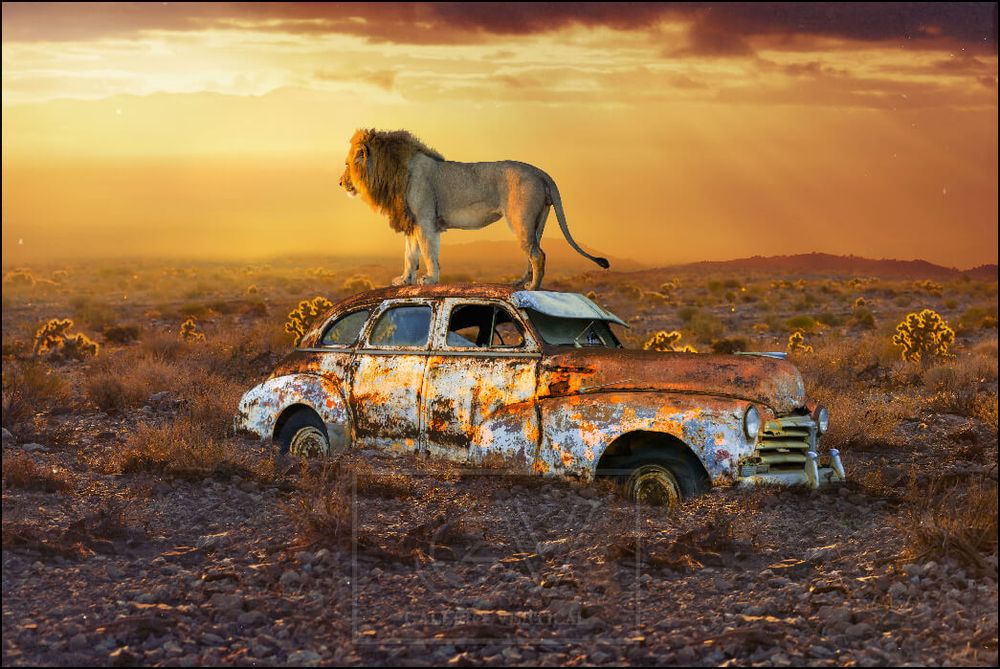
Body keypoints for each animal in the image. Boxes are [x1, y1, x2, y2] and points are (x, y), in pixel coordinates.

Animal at [338, 128, 609, 289]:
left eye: (348, 164)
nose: (340, 183)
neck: (392, 172)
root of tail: (541, 172)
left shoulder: (425, 221)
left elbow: (428, 253)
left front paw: (430, 279)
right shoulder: (412, 222)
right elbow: (410, 254)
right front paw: (404, 279)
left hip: (520, 219)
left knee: (538, 255)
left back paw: (532, 288)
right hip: (537, 222)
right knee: (533, 253)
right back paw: (520, 282)